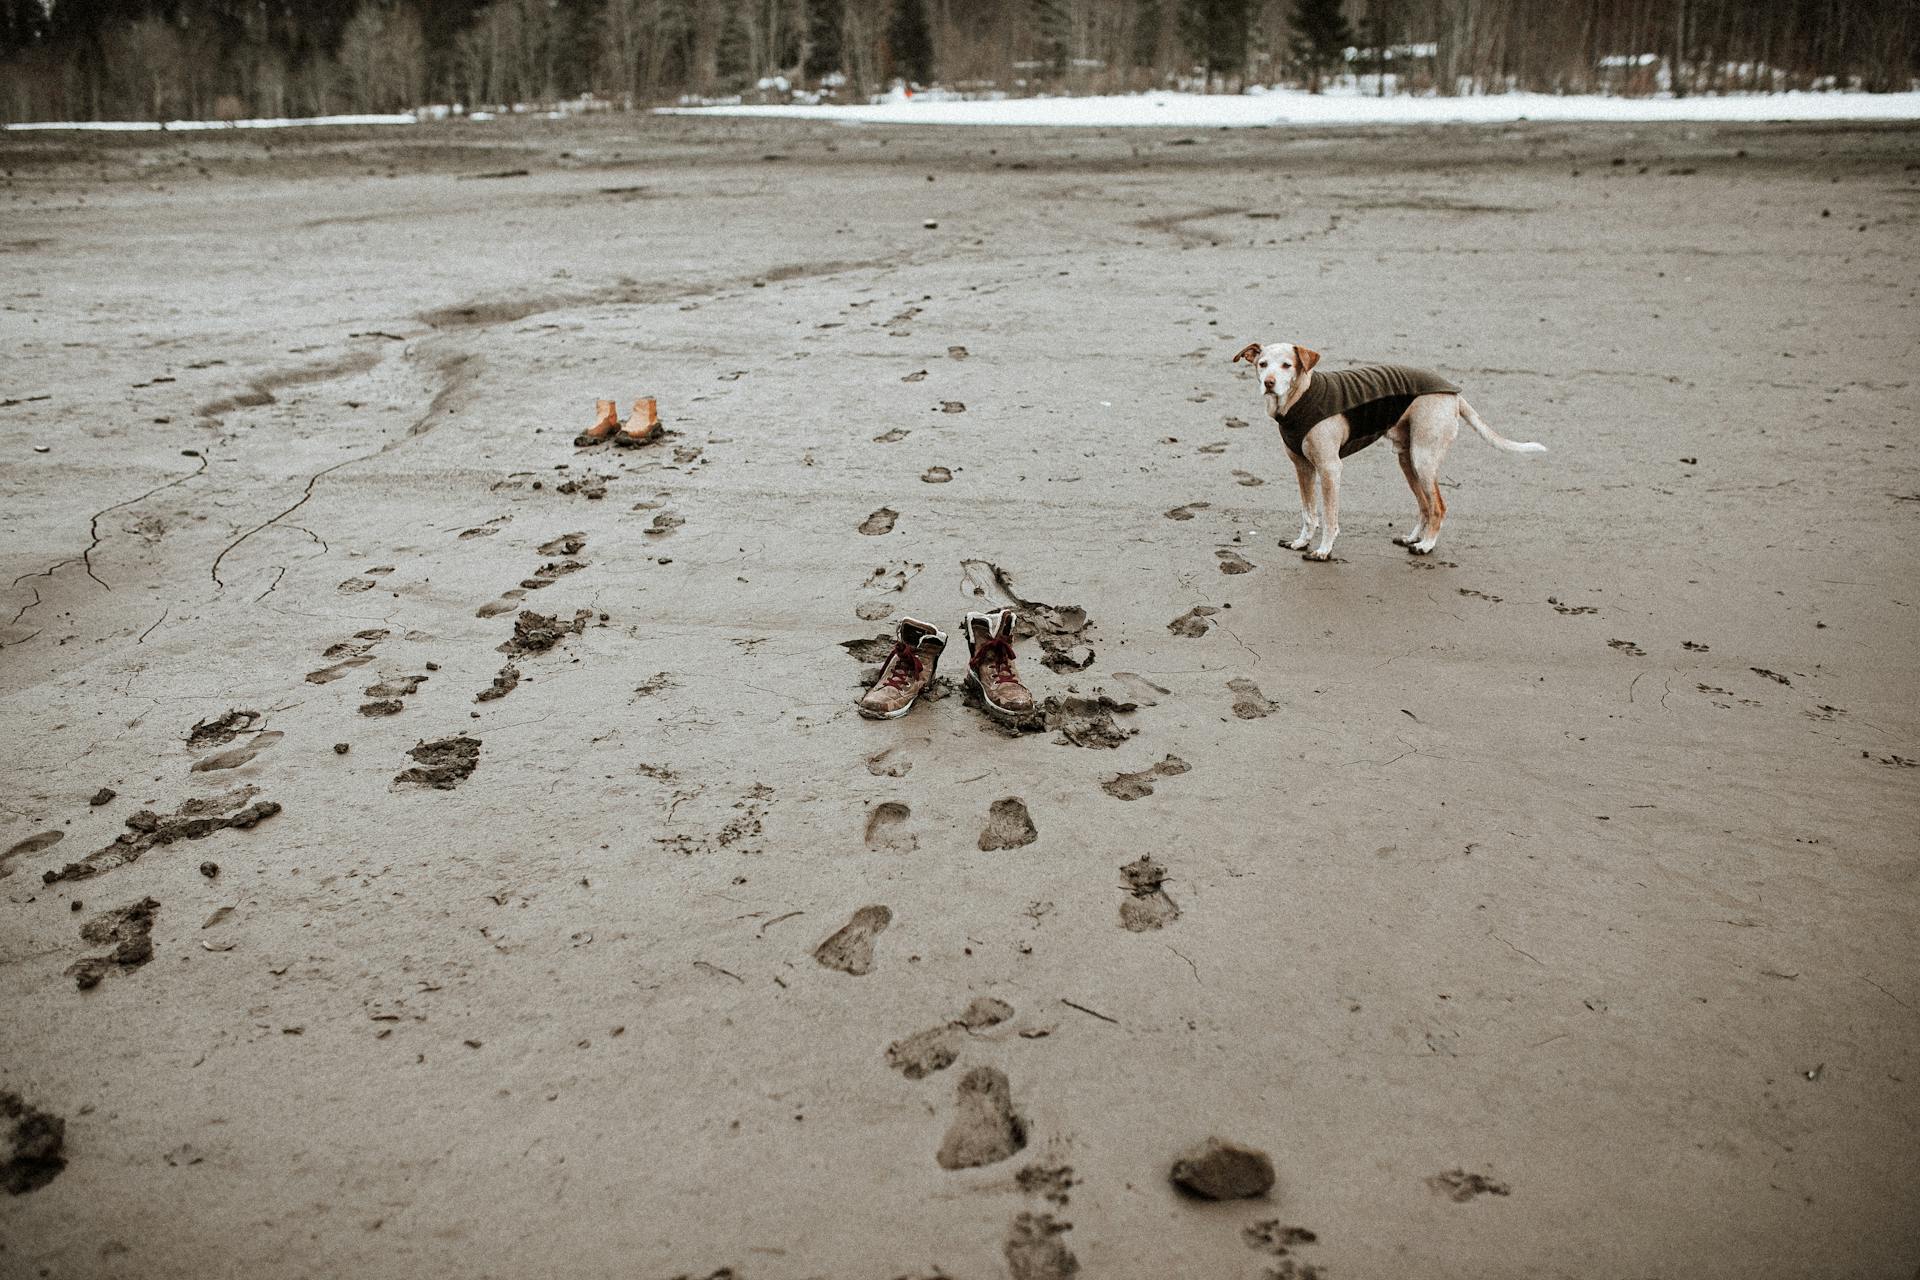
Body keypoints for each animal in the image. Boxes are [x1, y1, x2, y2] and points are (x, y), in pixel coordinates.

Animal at [1236, 339, 1551, 560]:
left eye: (1287, 365)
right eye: (1262, 364)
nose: (1269, 383)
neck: (1299, 399)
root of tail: (1453, 394)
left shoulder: (1329, 469)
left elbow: (1329, 516)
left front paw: (1324, 551)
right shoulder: (1303, 468)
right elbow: (1308, 512)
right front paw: (1301, 542)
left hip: (1423, 459)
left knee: (1438, 506)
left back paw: (1426, 546)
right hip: (1407, 460)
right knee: (1424, 505)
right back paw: (1414, 539)